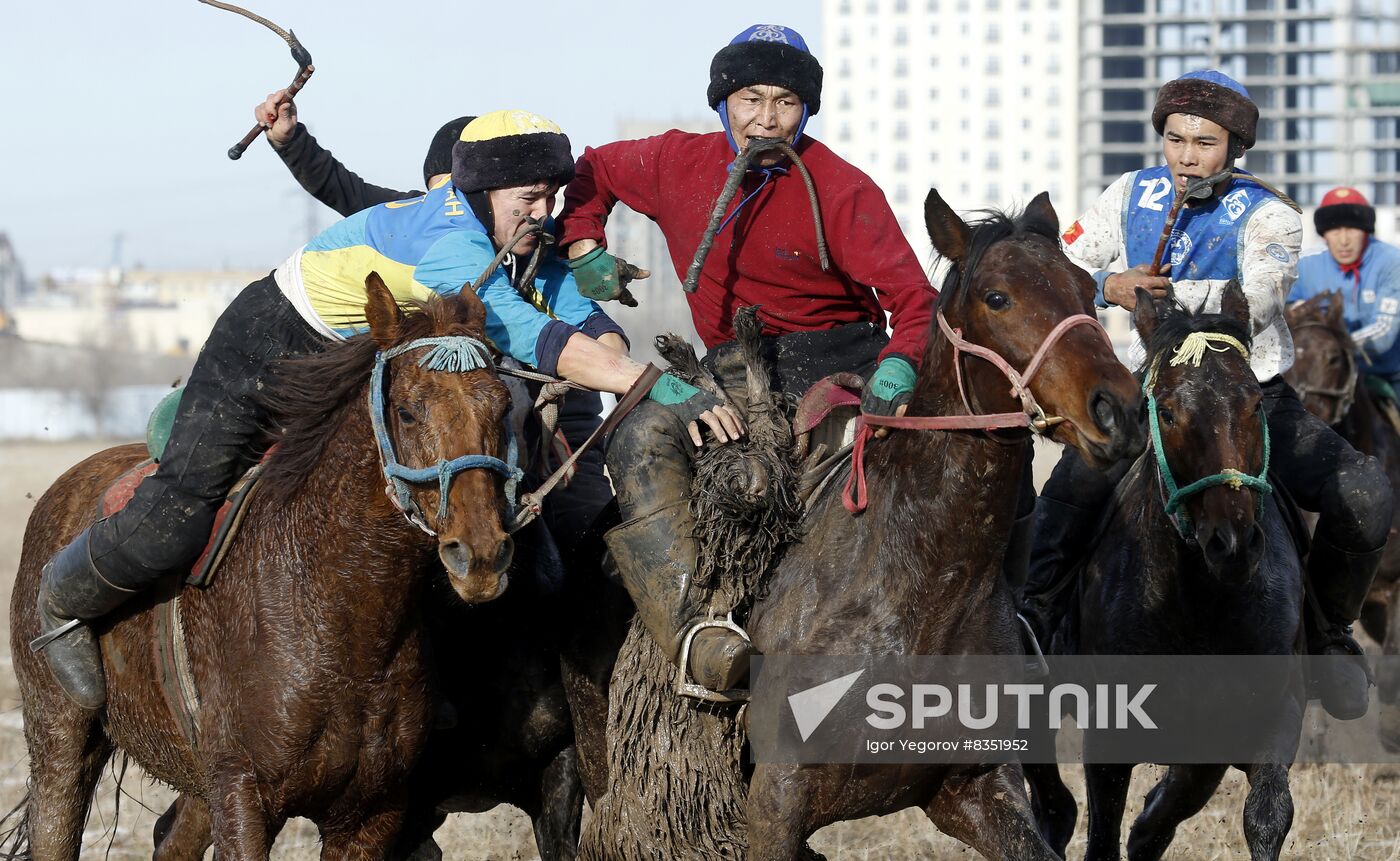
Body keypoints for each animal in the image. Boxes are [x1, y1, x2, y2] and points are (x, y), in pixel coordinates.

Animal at [6, 278, 520, 861]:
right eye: (408, 412)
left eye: (502, 407)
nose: (480, 555)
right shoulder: (243, 794)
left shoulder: (372, 812)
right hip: (60, 739)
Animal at [1024, 282, 1304, 861]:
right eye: (1169, 412)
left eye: (1254, 403)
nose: (1232, 542)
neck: (1198, 604)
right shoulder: (1110, 738)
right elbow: (1104, 835)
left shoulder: (1255, 722)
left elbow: (1262, 814)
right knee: (1052, 800)